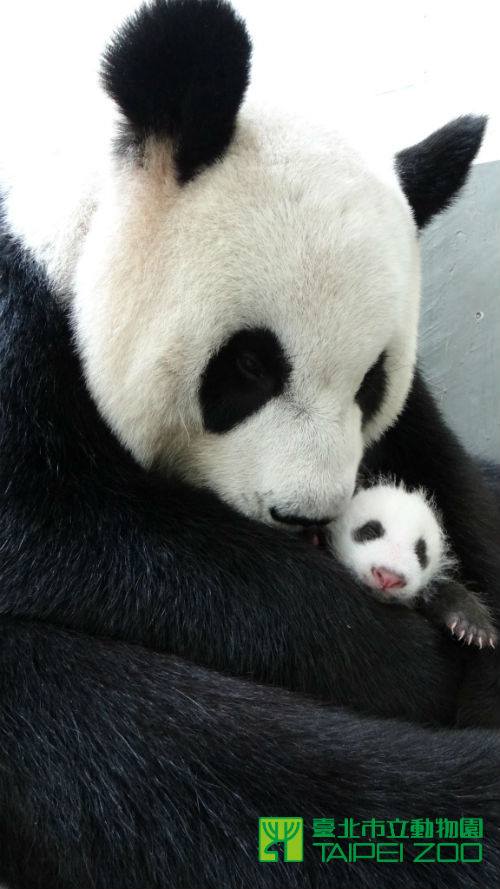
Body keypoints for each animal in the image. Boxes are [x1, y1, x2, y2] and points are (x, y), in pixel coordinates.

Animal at [1, 1, 500, 888]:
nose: (304, 516)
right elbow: (89, 541)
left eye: (371, 381)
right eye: (249, 365)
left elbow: (453, 483)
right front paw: (404, 660)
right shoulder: (21, 350)